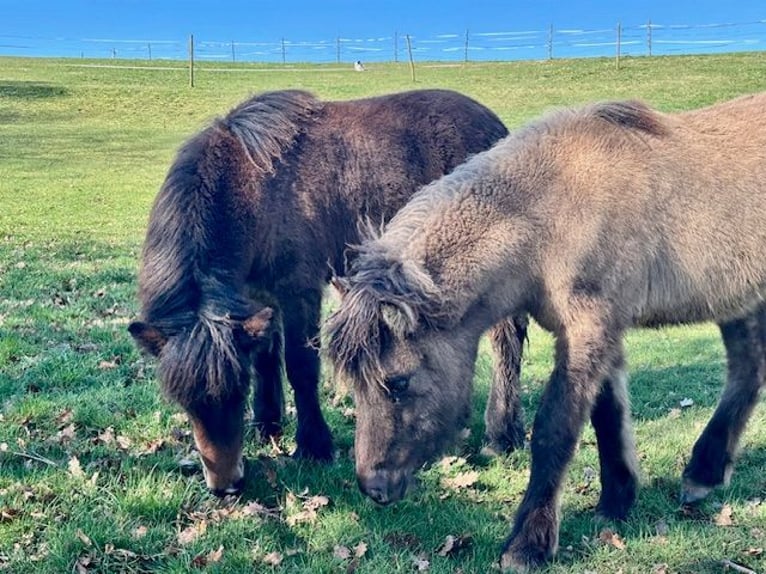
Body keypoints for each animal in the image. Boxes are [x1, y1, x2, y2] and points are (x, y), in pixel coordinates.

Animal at [127, 88, 527, 496]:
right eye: (185, 403)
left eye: (236, 394)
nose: (225, 485)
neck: (250, 187)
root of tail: (496, 128)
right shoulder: (258, 296)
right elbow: (266, 358)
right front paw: (267, 426)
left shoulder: (298, 291)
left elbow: (301, 365)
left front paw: (313, 446)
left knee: (506, 341)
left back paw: (502, 435)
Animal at [323, 91, 766, 570]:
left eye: (398, 382)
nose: (374, 487)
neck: (554, 212)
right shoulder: (598, 332)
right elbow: (607, 416)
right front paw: (616, 500)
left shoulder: (588, 329)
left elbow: (556, 428)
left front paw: (528, 542)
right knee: (748, 367)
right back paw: (705, 472)